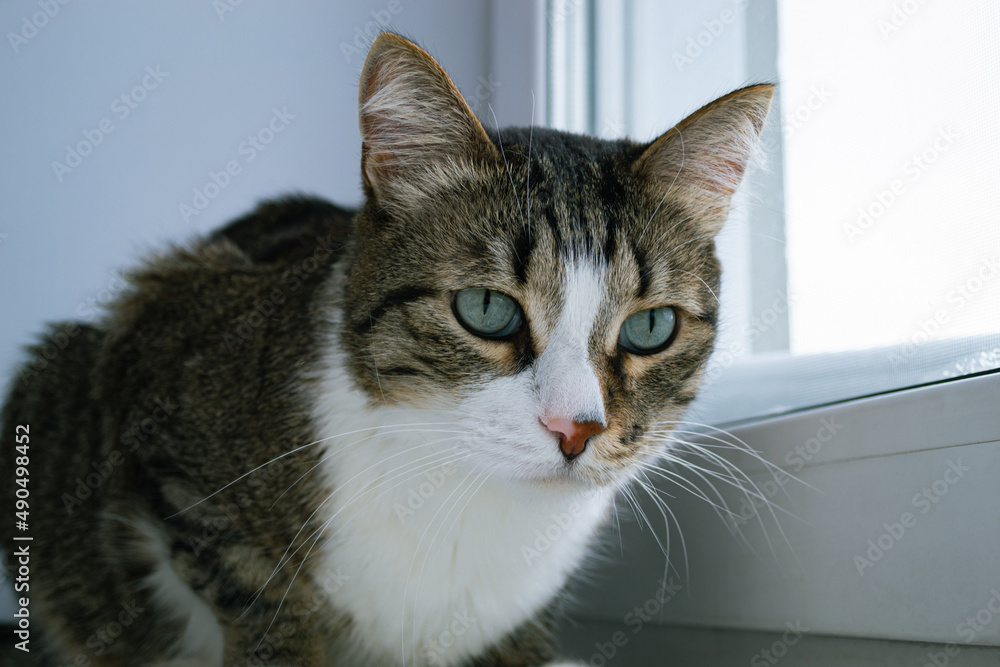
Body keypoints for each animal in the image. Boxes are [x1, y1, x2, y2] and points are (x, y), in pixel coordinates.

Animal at [0, 32, 772, 667]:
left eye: (651, 328)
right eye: (486, 310)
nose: (576, 428)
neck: (457, 486)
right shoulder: (167, 385)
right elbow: (262, 603)